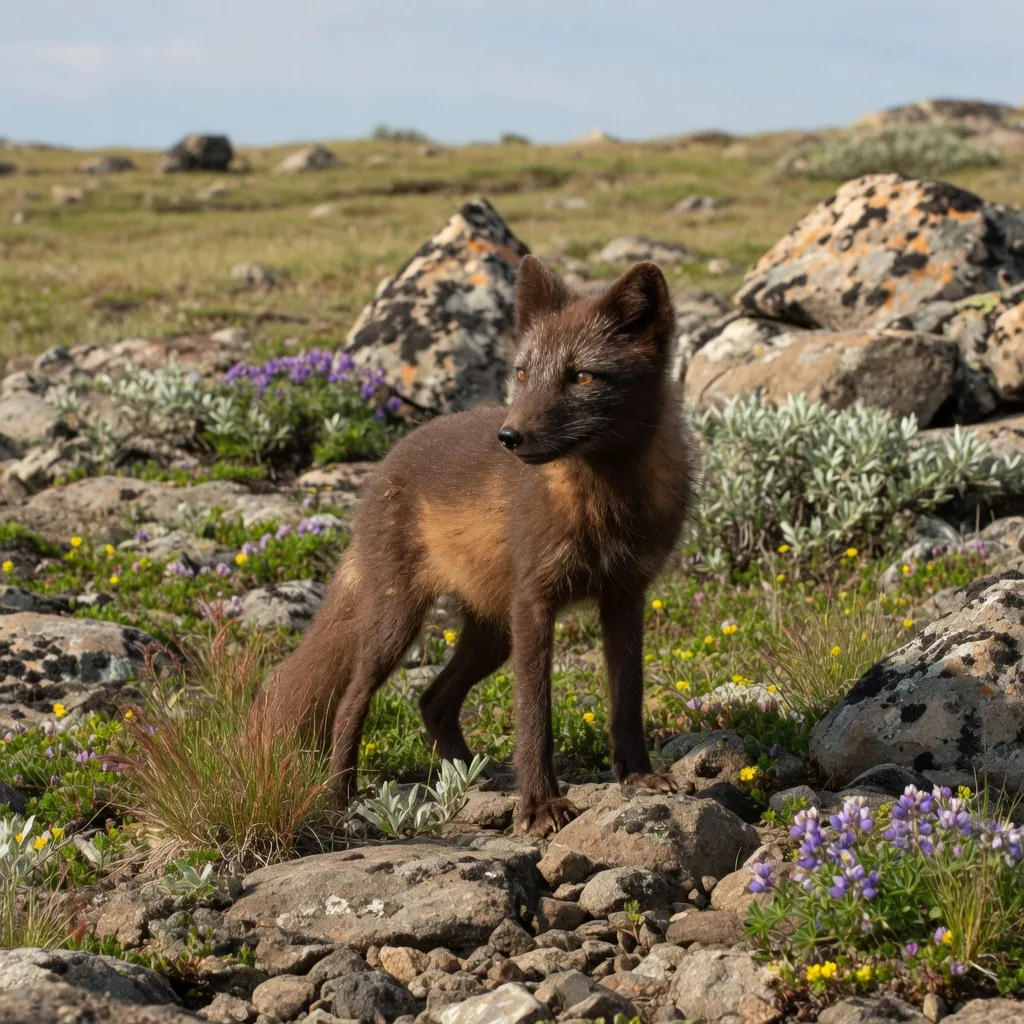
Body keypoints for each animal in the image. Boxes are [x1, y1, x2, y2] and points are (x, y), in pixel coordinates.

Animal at [257, 255, 699, 836]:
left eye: (581, 376)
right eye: (522, 374)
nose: (509, 438)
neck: (605, 503)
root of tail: (385, 464)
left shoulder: (625, 596)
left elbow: (627, 700)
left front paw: (639, 778)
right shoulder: (535, 602)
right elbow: (534, 716)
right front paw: (539, 805)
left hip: (492, 636)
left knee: (431, 701)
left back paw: (474, 778)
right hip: (399, 625)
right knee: (352, 702)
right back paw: (340, 798)